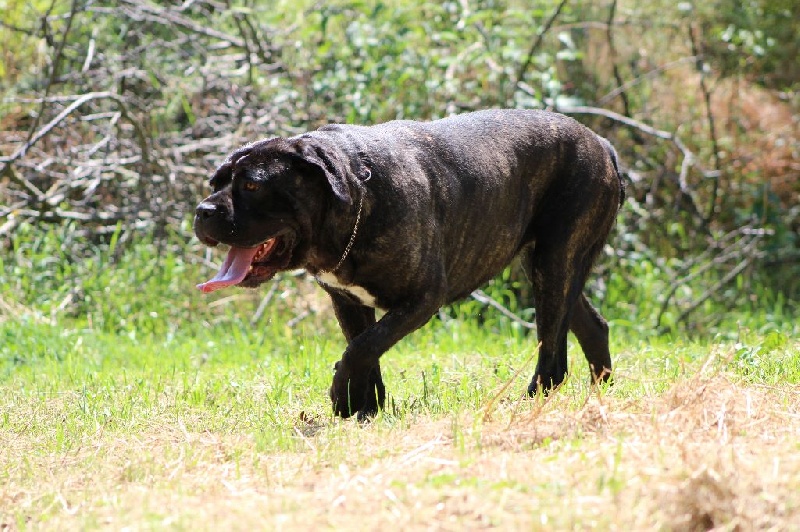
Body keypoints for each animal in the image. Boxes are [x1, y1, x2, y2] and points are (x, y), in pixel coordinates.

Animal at [194, 110, 624, 422]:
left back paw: (529, 401)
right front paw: (363, 408)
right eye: (215, 183)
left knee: (552, 349)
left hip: (554, 262)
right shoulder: (348, 302)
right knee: (591, 325)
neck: (356, 194)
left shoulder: (422, 299)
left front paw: (343, 397)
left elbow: (362, 348)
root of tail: (602, 144)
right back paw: (600, 389)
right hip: (553, 267)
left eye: (252, 185)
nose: (203, 211)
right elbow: (364, 349)